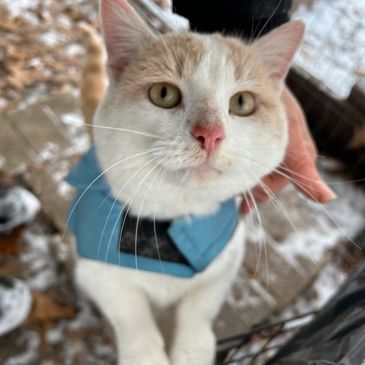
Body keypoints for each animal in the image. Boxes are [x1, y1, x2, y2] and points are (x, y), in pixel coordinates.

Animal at [67, 1, 302, 362]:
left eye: (242, 102)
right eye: (163, 93)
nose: (210, 134)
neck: (171, 218)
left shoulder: (226, 260)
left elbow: (199, 310)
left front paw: (192, 350)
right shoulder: (94, 269)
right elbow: (131, 313)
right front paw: (146, 354)